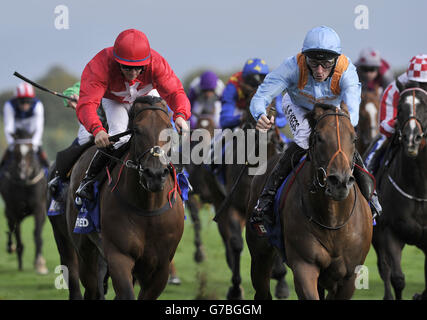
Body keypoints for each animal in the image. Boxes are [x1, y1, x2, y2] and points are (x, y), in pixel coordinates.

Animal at [0, 129, 48, 274]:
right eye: (16, 152)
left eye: (31, 151)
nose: (23, 174)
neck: (24, 184)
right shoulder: (13, 210)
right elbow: (18, 234)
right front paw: (19, 257)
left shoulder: (39, 208)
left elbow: (37, 234)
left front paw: (39, 264)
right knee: (12, 230)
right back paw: (12, 248)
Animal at [67, 95, 184, 300]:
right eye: (137, 130)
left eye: (168, 128)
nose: (154, 175)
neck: (148, 208)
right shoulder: (118, 257)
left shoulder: (161, 266)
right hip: (84, 249)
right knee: (92, 287)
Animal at [247, 103, 374, 300]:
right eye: (319, 137)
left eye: (354, 139)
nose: (340, 182)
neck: (333, 219)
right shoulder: (304, 265)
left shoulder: (349, 276)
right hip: (259, 254)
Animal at [372, 80, 427, 300]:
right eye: (400, 109)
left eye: (425, 106)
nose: (412, 139)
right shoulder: (390, 232)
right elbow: (397, 278)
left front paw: (419, 295)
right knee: (383, 267)